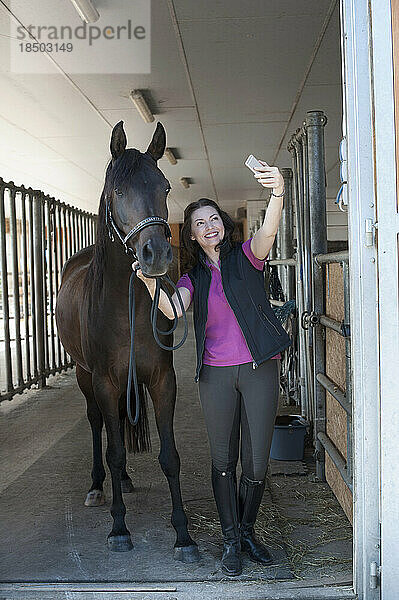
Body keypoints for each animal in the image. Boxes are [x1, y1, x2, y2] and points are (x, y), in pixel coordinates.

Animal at [55, 122, 199, 564]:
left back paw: (126, 480)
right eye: (118, 191)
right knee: (98, 424)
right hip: (85, 377)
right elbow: (114, 447)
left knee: (117, 420)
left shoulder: (161, 380)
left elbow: (170, 455)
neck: (126, 306)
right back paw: (99, 485)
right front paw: (119, 529)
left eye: (164, 187)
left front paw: (184, 535)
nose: (156, 255)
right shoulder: (104, 380)